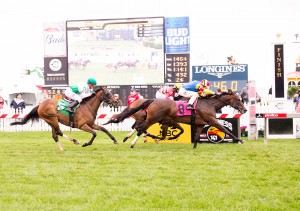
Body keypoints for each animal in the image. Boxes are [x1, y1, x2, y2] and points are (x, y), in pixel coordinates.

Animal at [106, 89, 247, 148]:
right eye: (238, 99)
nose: (245, 110)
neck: (209, 104)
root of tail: (153, 100)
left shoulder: (200, 124)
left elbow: (196, 136)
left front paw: (194, 147)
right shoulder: (212, 120)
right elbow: (226, 129)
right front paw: (240, 140)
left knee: (139, 128)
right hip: (151, 119)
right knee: (140, 129)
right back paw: (132, 143)